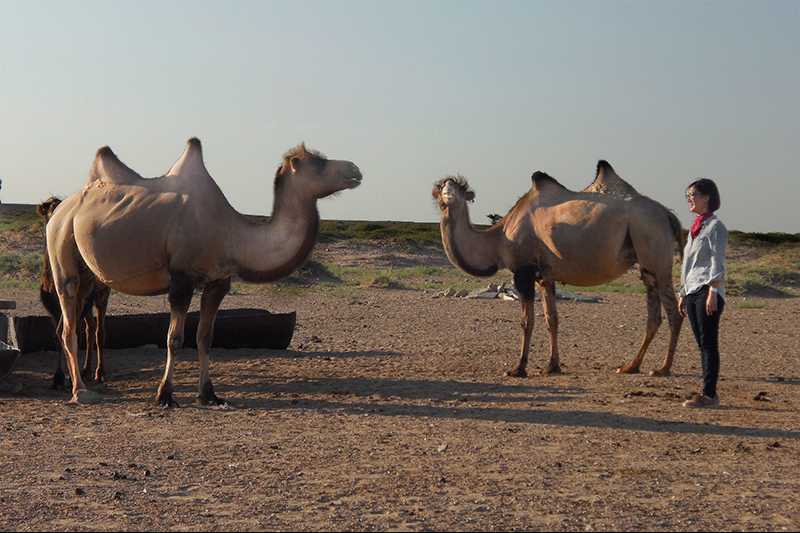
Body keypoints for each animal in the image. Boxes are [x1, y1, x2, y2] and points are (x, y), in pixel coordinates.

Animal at [37, 197, 111, 390]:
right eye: (49, 209)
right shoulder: (53, 306)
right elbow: (58, 336)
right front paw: (58, 377)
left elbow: (71, 333)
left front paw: (70, 378)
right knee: (90, 328)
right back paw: (86, 371)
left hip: (102, 291)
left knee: (100, 331)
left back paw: (100, 373)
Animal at [47, 138, 362, 406]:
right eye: (319, 162)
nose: (355, 169)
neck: (231, 235)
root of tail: (58, 211)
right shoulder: (182, 279)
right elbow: (174, 339)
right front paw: (164, 395)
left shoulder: (218, 281)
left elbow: (205, 337)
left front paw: (208, 394)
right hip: (61, 246)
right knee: (68, 321)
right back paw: (80, 391)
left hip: (87, 270)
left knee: (69, 322)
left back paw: (74, 381)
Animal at [432, 160, 684, 378]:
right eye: (440, 187)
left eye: (457, 189)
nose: (448, 196)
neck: (498, 238)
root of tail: (669, 214)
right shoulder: (544, 277)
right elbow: (551, 319)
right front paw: (552, 366)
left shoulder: (523, 272)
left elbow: (527, 322)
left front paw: (518, 368)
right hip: (647, 262)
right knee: (654, 313)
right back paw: (631, 366)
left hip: (652, 243)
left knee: (674, 311)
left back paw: (663, 368)